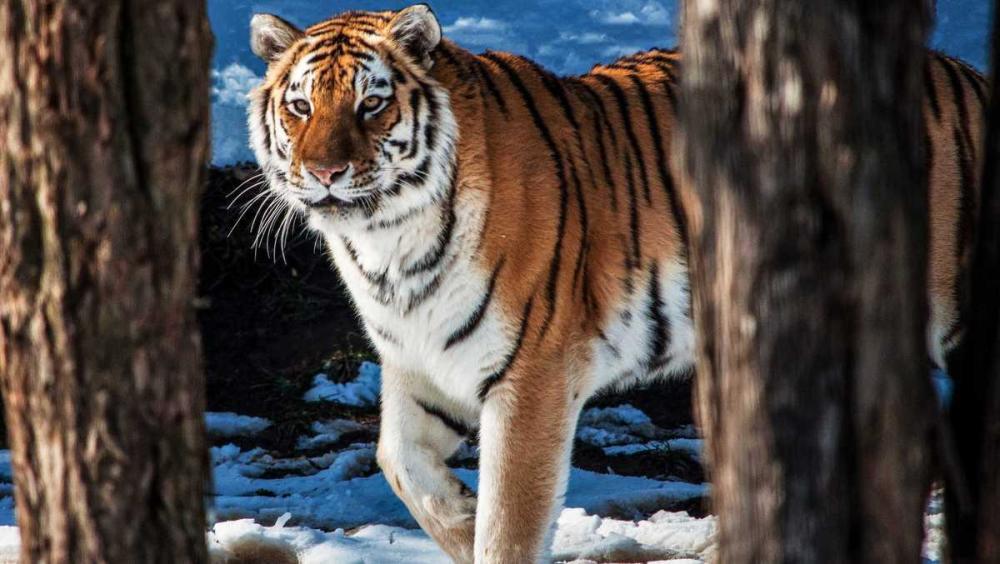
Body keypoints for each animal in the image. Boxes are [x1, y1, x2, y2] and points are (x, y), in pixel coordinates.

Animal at [245, 5, 987, 562]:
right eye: (301, 107)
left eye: (371, 105)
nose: (325, 173)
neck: (387, 247)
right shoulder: (419, 362)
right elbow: (398, 461)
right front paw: (458, 514)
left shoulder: (531, 377)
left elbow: (510, 523)